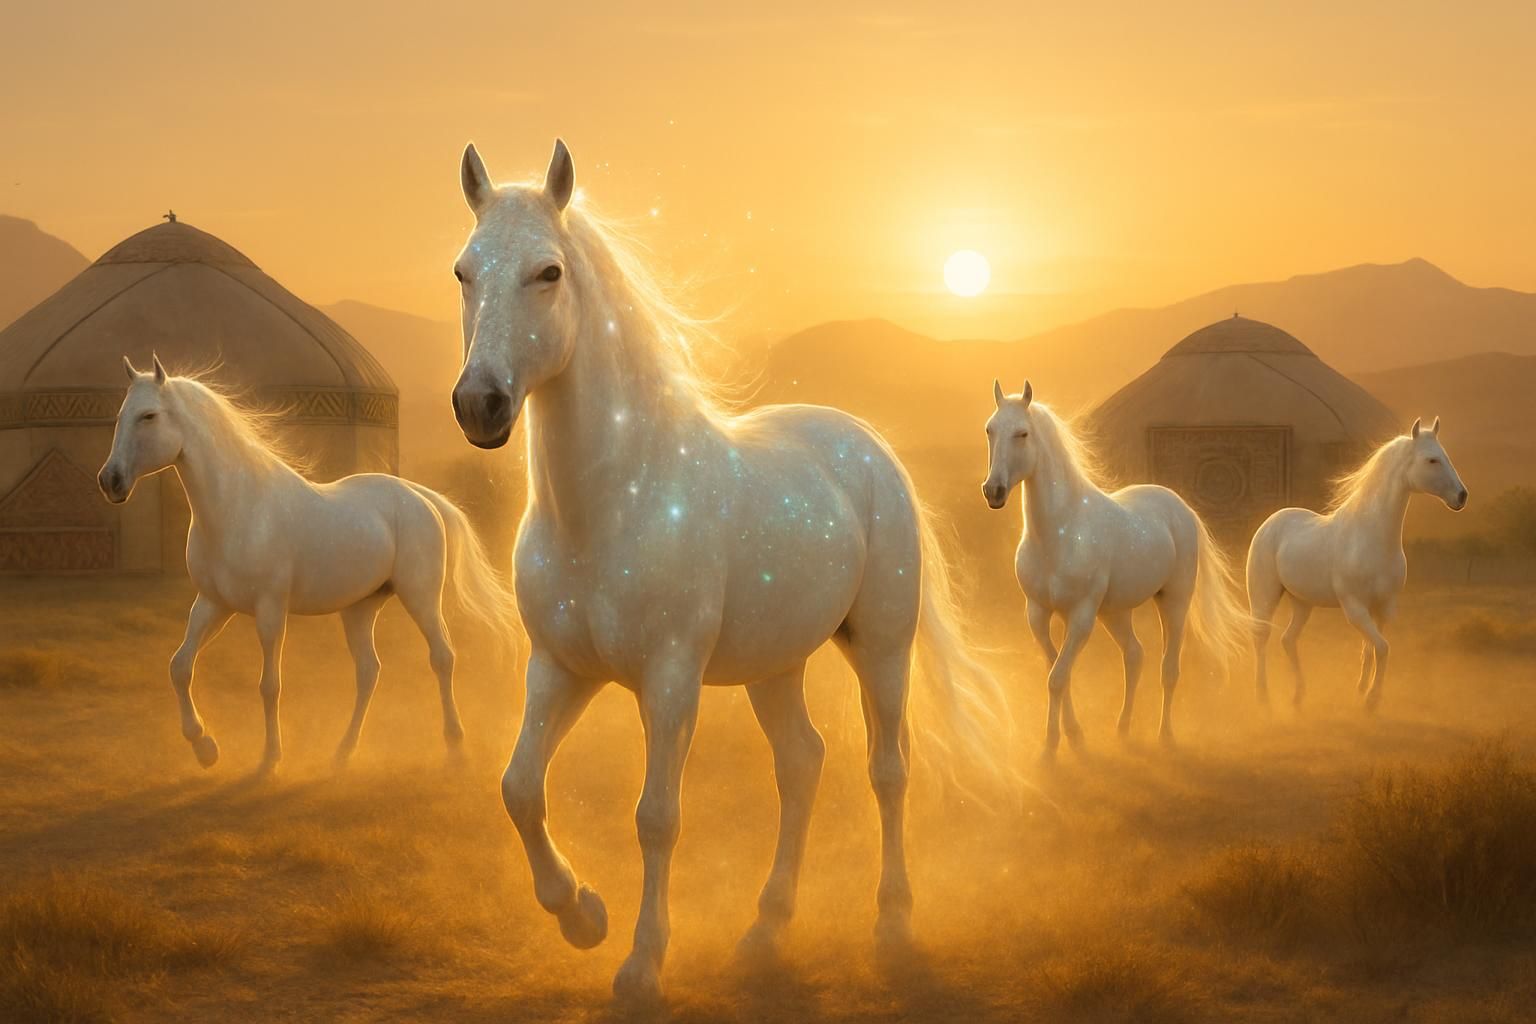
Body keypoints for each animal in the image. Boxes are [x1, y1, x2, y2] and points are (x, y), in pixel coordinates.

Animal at [98, 358, 514, 773]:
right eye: (120, 415)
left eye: (148, 416)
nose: (110, 480)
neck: (238, 507)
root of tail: (421, 498)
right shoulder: (212, 604)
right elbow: (180, 667)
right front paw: (204, 747)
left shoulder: (269, 610)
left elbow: (269, 685)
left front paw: (269, 758)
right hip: (360, 608)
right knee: (368, 671)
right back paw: (343, 751)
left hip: (420, 597)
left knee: (442, 657)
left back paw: (455, 746)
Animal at [447, 138, 1004, 1002]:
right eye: (464, 272)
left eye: (548, 272)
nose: (481, 404)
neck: (609, 506)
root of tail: (867, 447)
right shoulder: (560, 669)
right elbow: (519, 789)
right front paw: (582, 915)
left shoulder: (670, 679)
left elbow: (656, 817)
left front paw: (641, 964)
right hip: (774, 668)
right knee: (803, 763)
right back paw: (765, 928)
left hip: (881, 650)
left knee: (887, 770)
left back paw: (891, 921)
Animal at [981, 381, 1249, 756]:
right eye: (990, 429)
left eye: (1022, 433)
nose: (993, 491)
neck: (1059, 533)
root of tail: (1180, 507)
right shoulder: (1037, 613)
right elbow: (1057, 671)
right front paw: (1073, 735)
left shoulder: (1081, 617)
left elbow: (1057, 678)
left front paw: (1051, 748)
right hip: (1115, 613)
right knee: (1135, 656)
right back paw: (1122, 729)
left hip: (1174, 602)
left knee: (1169, 668)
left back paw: (1164, 735)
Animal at [1247, 417, 1467, 711]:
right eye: (1431, 460)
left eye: (1445, 455)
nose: (1461, 496)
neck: (1371, 537)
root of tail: (1269, 523)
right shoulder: (1355, 608)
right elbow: (1382, 648)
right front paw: (1371, 700)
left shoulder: (1383, 608)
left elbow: (1372, 648)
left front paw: (1362, 690)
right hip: (1265, 596)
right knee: (1261, 638)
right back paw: (1263, 697)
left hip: (1302, 602)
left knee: (1288, 640)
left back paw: (1298, 695)